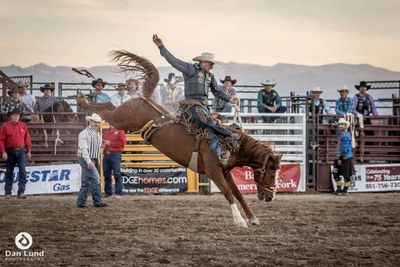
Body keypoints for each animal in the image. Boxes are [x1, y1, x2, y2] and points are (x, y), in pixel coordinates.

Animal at [76, 50, 282, 228]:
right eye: (272, 172)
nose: (271, 197)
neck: (232, 145)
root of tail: (144, 98)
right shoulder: (213, 172)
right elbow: (228, 194)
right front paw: (239, 221)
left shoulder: (225, 172)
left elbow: (238, 194)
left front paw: (252, 218)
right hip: (122, 118)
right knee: (107, 109)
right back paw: (82, 100)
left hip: (122, 118)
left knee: (109, 106)